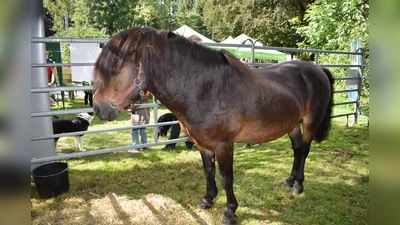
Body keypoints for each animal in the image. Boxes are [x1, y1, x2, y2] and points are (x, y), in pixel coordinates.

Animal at [93, 26, 334, 225]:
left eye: (115, 70)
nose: (98, 109)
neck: (205, 89)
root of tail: (318, 70)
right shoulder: (203, 144)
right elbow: (208, 171)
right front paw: (207, 200)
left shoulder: (224, 145)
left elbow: (226, 177)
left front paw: (230, 212)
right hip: (291, 124)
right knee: (296, 150)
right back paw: (289, 180)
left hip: (310, 123)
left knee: (304, 150)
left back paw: (298, 186)